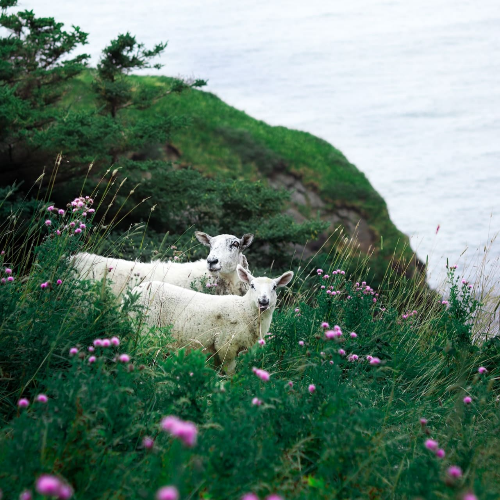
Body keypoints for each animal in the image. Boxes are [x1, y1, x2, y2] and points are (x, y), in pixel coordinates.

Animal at [132, 264, 292, 374]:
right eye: (252, 286)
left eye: (274, 287)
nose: (263, 301)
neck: (244, 309)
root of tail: (133, 291)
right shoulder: (226, 345)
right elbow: (230, 372)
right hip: (147, 328)